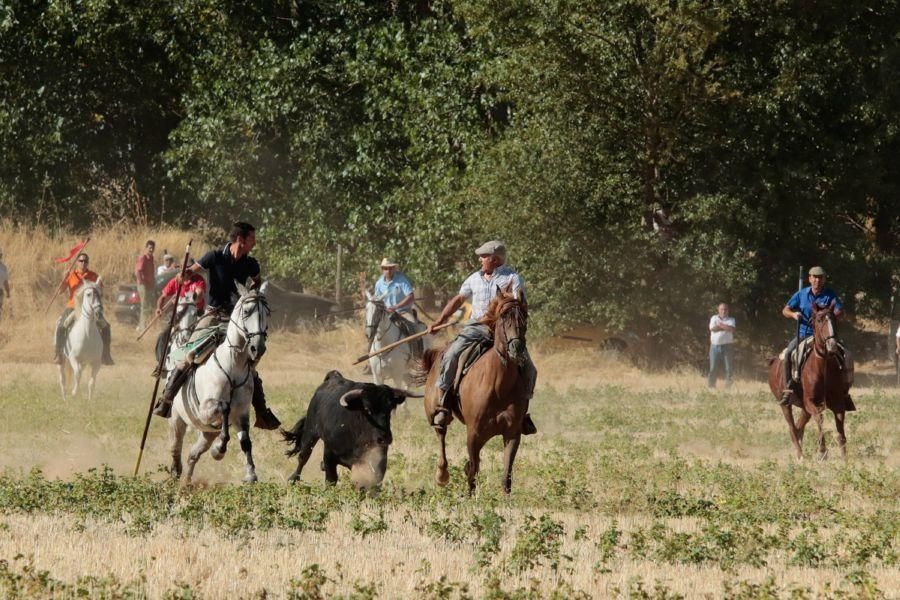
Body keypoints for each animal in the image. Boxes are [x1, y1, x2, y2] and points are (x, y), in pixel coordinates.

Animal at [168, 280, 268, 482]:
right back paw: (176, 472)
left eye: (266, 313)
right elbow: (224, 407)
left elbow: (246, 441)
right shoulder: (205, 410)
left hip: (207, 432)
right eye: (247, 311)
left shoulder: (242, 414)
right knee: (176, 445)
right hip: (178, 417)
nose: (257, 348)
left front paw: (251, 474)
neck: (233, 366)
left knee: (193, 454)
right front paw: (219, 450)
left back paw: (187, 482)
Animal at [284, 370, 420, 488]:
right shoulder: (329, 454)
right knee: (303, 457)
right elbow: (331, 479)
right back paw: (293, 479)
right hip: (310, 433)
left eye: (390, 408)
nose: (384, 438)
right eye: (367, 408)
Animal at [418, 288, 532, 494]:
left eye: (524, 316)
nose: (517, 348)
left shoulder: (512, 434)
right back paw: (441, 475)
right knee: (441, 434)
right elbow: (473, 470)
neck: (499, 385)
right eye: (504, 316)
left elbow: (506, 475)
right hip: (436, 412)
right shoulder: (474, 434)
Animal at [768, 302, 856, 462]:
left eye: (834, 319)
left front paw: (844, 456)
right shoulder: (811, 402)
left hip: (803, 408)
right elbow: (820, 419)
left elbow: (840, 427)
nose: (832, 345)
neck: (823, 367)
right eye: (819, 320)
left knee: (798, 427)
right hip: (785, 404)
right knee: (792, 427)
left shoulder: (837, 403)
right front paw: (822, 452)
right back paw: (800, 455)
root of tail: (773, 362)